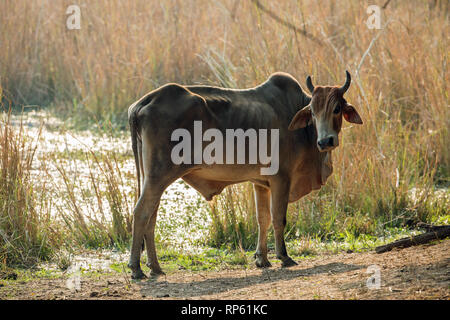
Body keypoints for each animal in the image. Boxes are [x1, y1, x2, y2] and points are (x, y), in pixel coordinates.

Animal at [126, 71, 362, 278]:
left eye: (337, 108)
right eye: (312, 111)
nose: (325, 141)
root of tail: (144, 102)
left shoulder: (261, 183)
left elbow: (262, 219)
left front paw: (262, 259)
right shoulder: (281, 179)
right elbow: (278, 218)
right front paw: (283, 257)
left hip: (153, 179)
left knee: (151, 216)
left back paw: (155, 267)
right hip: (158, 176)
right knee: (141, 213)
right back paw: (136, 268)